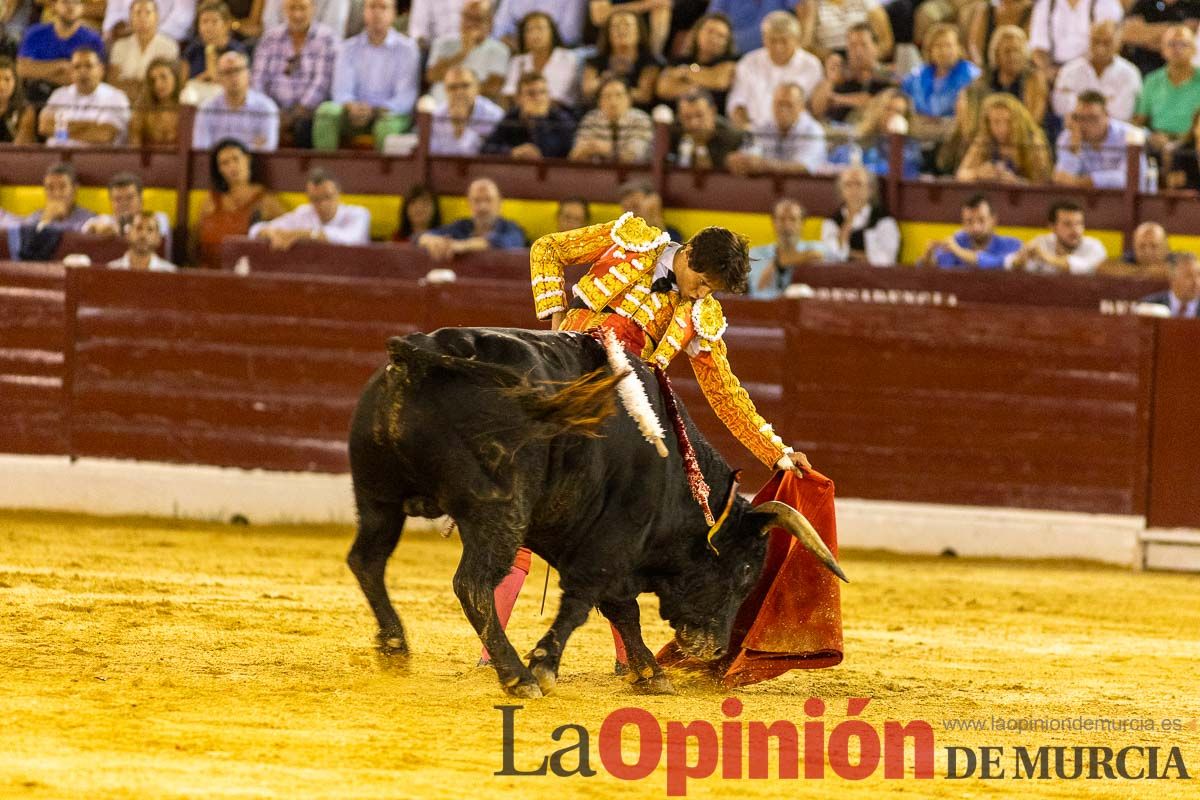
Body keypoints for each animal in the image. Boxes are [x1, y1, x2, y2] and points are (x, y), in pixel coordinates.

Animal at [345, 328, 844, 695]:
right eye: (744, 571)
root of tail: (420, 355)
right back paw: (516, 676)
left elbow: (622, 610)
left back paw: (395, 647)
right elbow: (585, 602)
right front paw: (544, 666)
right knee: (472, 583)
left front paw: (650, 674)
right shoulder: (611, 542)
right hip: (499, 511)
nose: (716, 650)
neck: (673, 470)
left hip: (377, 497)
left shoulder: (611, 553)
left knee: (367, 560)